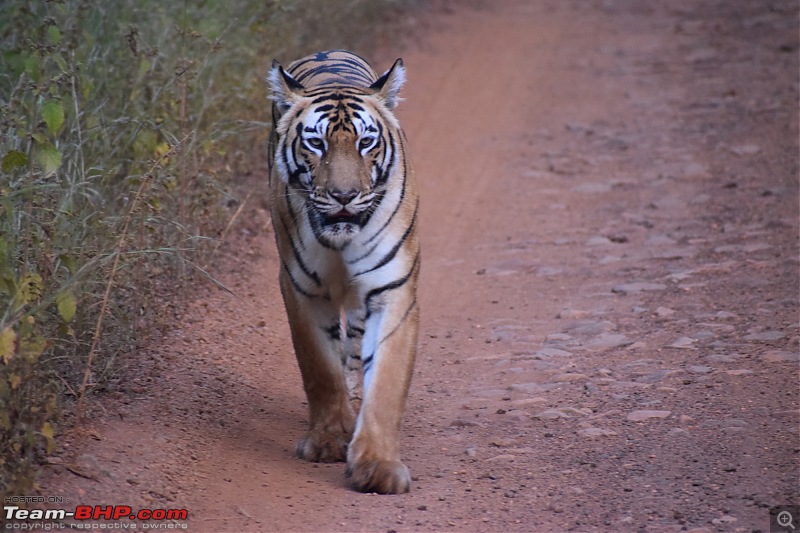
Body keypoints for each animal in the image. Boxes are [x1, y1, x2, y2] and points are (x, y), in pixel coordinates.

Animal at [268, 51, 422, 494]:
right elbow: (320, 368)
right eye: (316, 143)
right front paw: (329, 440)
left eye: (365, 142)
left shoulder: (392, 290)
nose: (343, 196)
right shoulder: (301, 289)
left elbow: (385, 380)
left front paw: (378, 467)